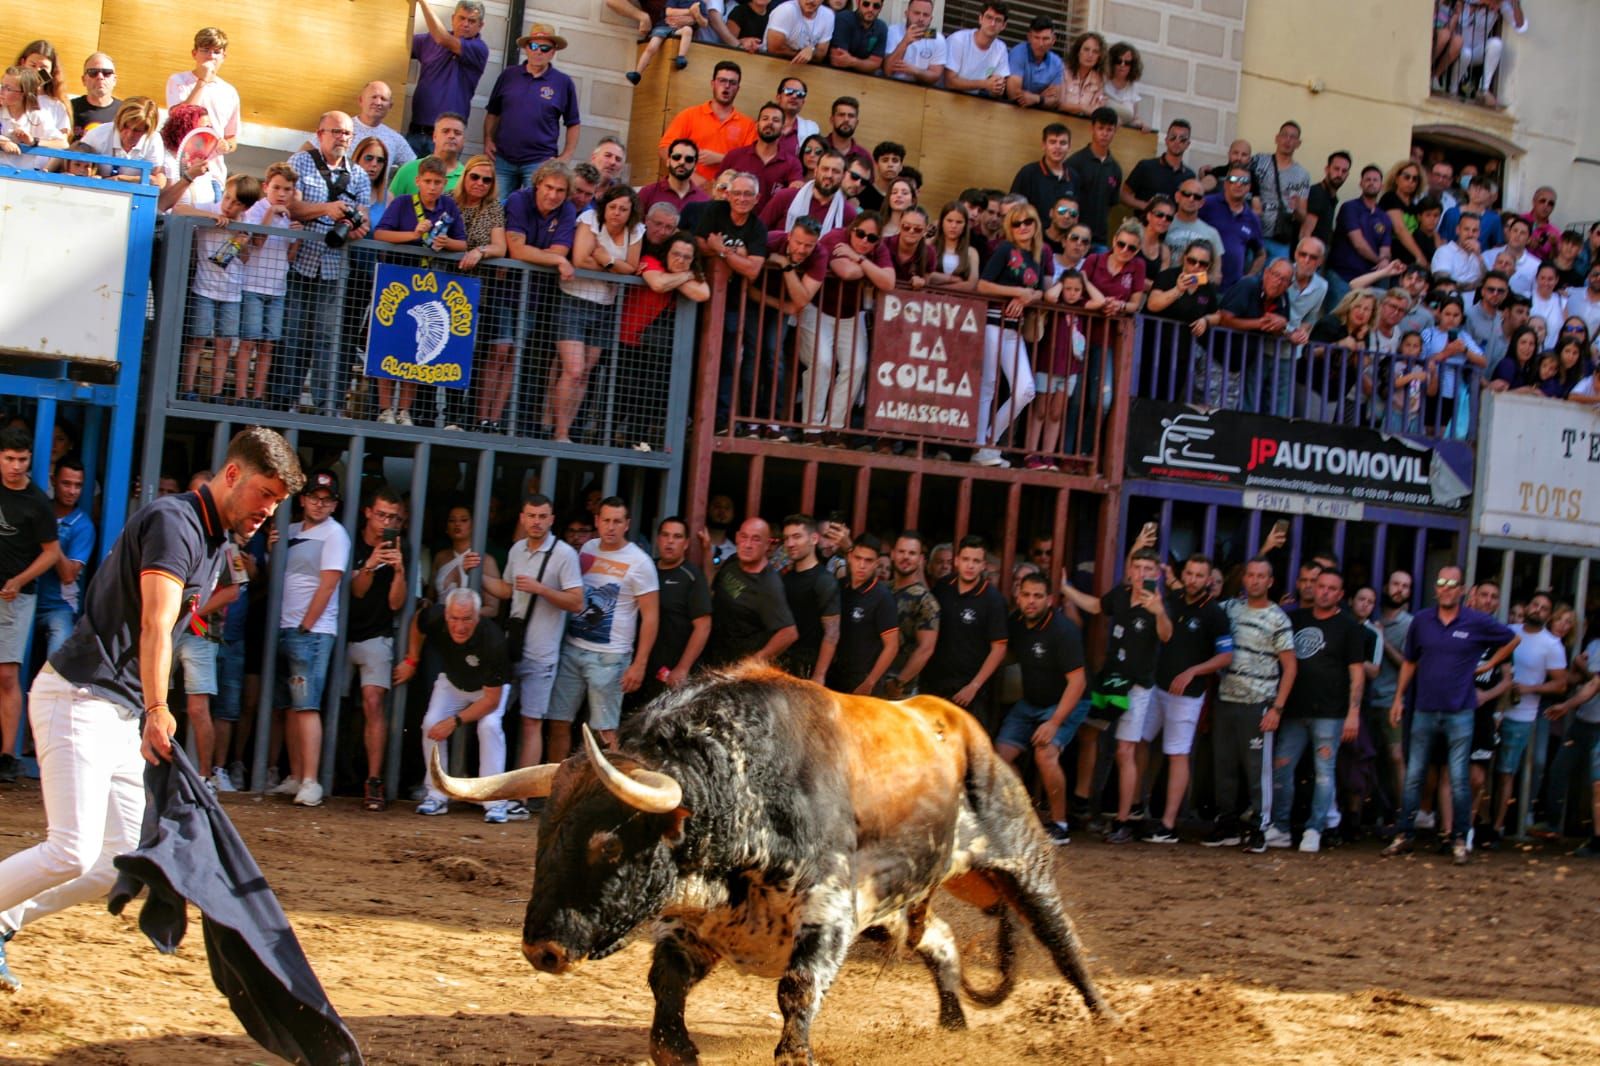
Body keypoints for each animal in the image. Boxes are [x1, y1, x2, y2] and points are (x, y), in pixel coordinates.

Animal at [435, 659, 1113, 1056]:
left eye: (608, 845)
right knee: (939, 940)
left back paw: (1107, 1023)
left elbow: (797, 988)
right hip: (898, 905)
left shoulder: (832, 908)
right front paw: (677, 1048)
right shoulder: (701, 926)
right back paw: (951, 1029)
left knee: (1064, 944)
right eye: (544, 839)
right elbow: (665, 982)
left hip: (1019, 860)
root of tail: (955, 722)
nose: (541, 950)